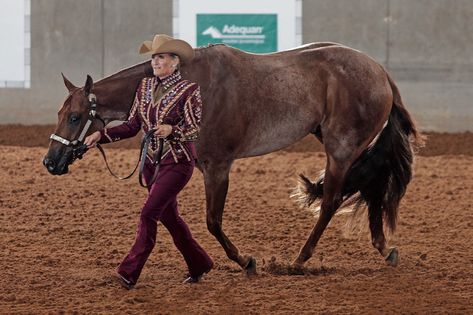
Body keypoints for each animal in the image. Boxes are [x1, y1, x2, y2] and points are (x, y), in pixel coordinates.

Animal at [43, 42, 420, 274]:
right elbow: (168, 214)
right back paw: (384, 249)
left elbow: (212, 220)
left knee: (331, 201)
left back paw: (299, 260)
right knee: (371, 192)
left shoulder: (218, 166)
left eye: (75, 116)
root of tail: (380, 71)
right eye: (60, 113)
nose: (51, 161)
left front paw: (246, 261)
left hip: (341, 149)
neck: (196, 83)